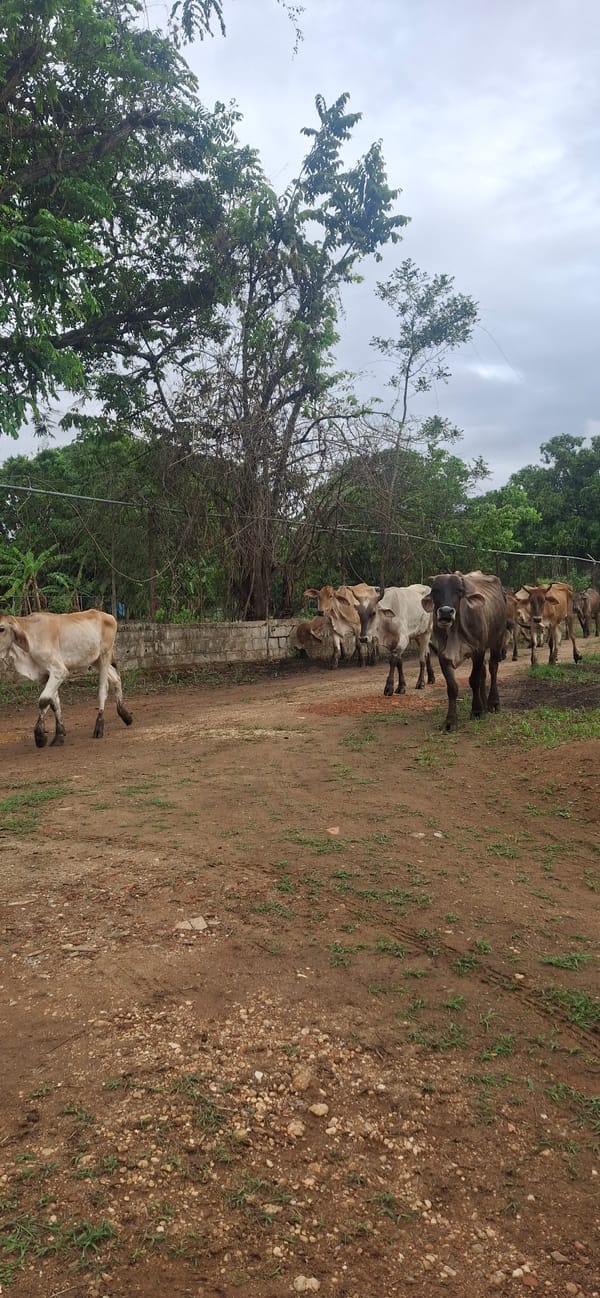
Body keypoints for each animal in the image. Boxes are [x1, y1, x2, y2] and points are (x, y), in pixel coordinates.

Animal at [0, 610, 133, 747]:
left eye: (1, 629)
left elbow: (43, 701)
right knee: (116, 678)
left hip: (104, 655)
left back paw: (99, 726)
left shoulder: (59, 671)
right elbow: (53, 703)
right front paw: (59, 735)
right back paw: (125, 716)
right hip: (95, 660)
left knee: (103, 689)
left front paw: (40, 736)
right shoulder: (46, 675)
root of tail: (107, 615)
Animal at [423, 571, 506, 732]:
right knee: (483, 672)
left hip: (497, 640)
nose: (446, 612)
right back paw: (485, 704)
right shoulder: (443, 655)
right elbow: (452, 687)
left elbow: (473, 680)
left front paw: (476, 711)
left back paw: (493, 703)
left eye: (459, 591)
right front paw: (450, 721)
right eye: (435, 590)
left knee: (493, 668)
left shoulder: (478, 650)